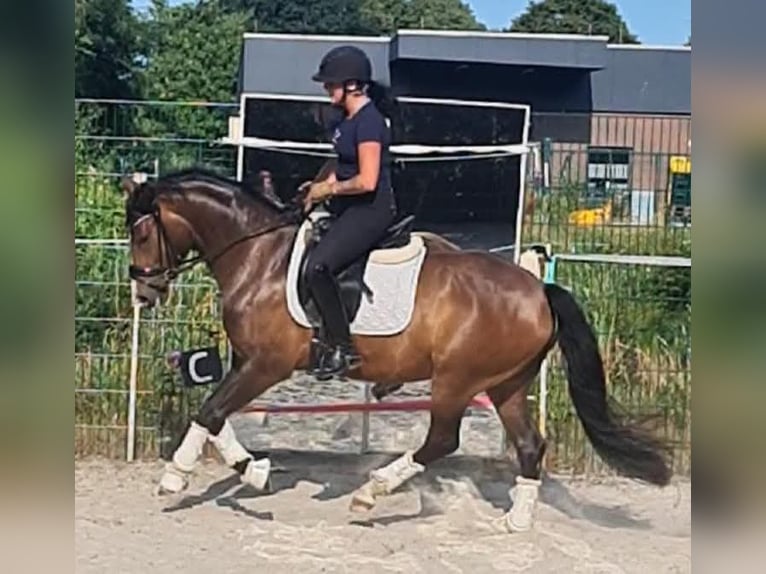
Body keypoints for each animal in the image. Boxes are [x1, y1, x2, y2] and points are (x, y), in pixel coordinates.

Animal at [121, 169, 672, 532]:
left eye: (141, 230)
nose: (144, 293)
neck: (260, 257)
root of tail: (538, 290)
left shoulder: (268, 364)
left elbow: (211, 410)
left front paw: (189, 477)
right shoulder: (246, 361)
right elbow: (214, 413)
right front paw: (237, 471)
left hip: (457, 380)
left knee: (443, 440)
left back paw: (372, 494)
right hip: (507, 384)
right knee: (529, 445)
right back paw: (517, 521)